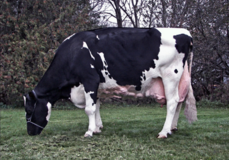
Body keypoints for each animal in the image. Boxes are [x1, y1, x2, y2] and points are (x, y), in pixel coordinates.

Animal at [24, 27, 198, 138]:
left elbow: (89, 109)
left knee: (172, 102)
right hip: (180, 79)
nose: (30, 133)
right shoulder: (95, 85)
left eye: (29, 110)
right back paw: (172, 128)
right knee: (179, 101)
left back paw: (163, 132)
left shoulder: (90, 79)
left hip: (170, 75)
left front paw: (89, 132)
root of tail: (186, 33)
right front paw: (97, 128)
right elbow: (96, 106)